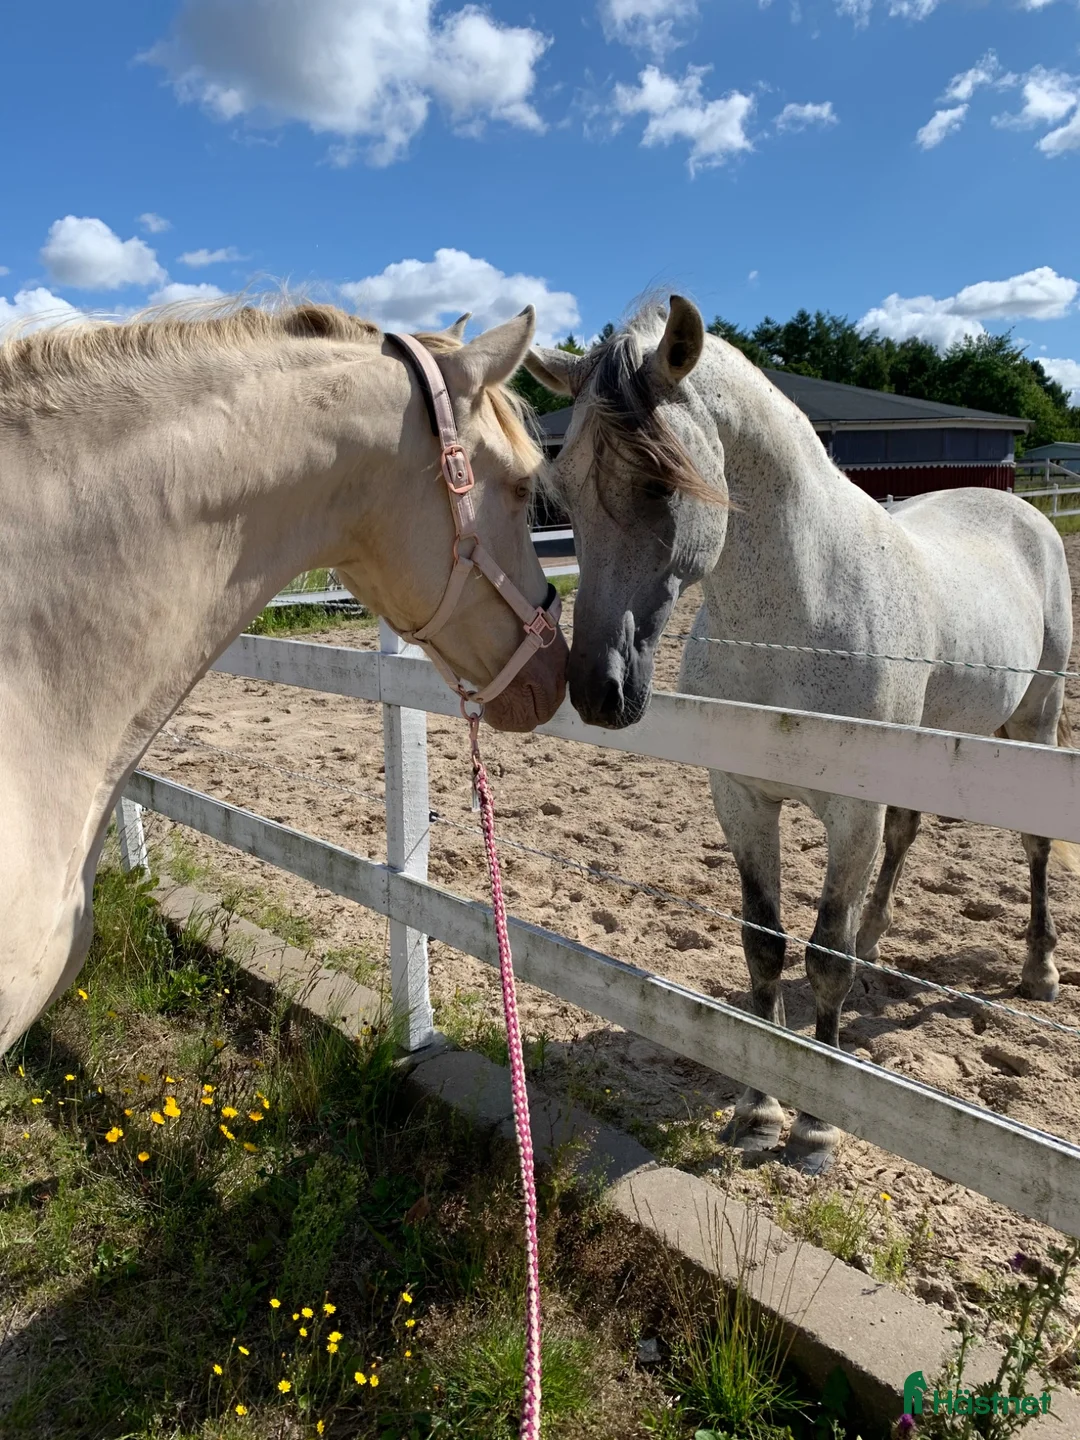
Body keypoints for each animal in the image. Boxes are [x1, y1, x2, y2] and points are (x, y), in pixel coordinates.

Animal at [525, 295, 1078, 1174]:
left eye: (660, 482)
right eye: (565, 492)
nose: (598, 690)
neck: (797, 616)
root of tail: (1022, 510)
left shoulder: (849, 812)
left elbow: (823, 956)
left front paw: (816, 1126)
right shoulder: (743, 799)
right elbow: (764, 945)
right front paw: (759, 1109)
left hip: (1034, 724)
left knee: (1030, 846)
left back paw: (1039, 968)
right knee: (906, 837)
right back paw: (883, 943)